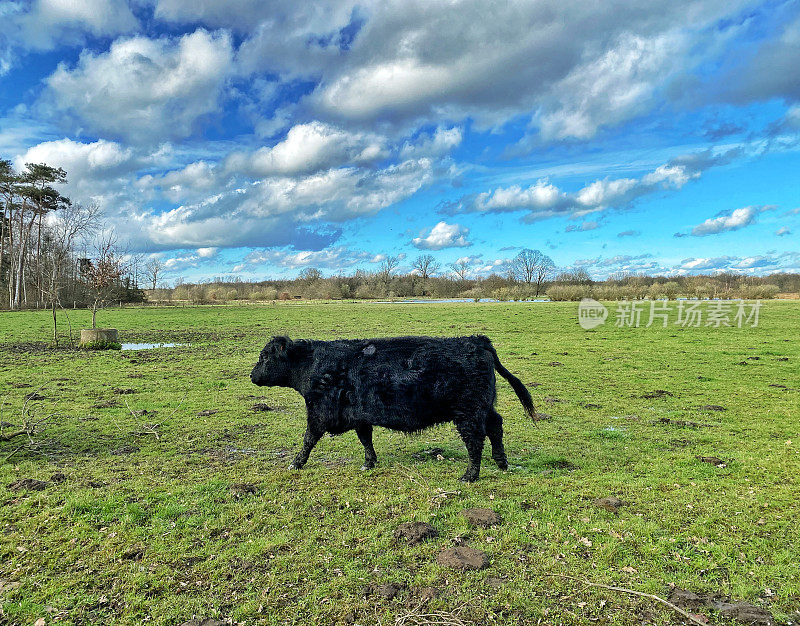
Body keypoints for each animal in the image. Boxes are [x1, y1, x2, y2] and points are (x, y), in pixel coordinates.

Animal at [250, 334, 536, 480]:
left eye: (264, 356)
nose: (252, 375)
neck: (311, 365)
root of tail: (477, 340)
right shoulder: (359, 414)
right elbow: (365, 438)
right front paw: (369, 463)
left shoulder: (319, 412)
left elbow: (308, 439)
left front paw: (296, 463)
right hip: (483, 407)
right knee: (495, 426)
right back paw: (501, 462)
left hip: (468, 412)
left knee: (475, 440)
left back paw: (470, 475)